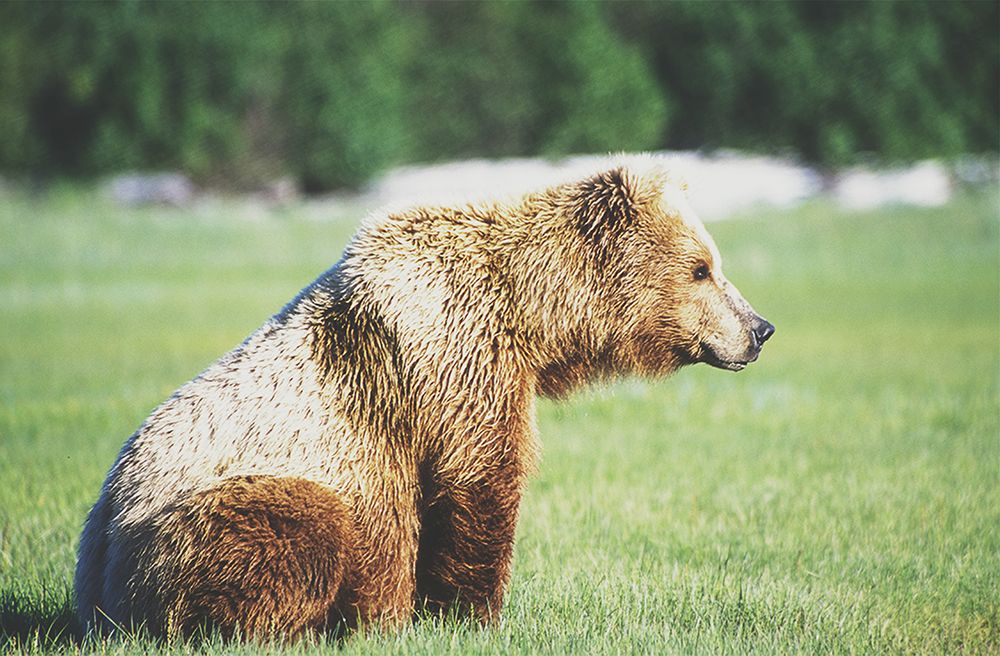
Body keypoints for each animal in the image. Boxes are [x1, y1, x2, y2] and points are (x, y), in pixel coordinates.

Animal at [75, 159, 774, 640]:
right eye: (702, 268)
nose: (759, 328)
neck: (529, 317)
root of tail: (97, 568)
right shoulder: (449, 354)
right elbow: (477, 482)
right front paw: (468, 616)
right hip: (194, 518)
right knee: (302, 529)